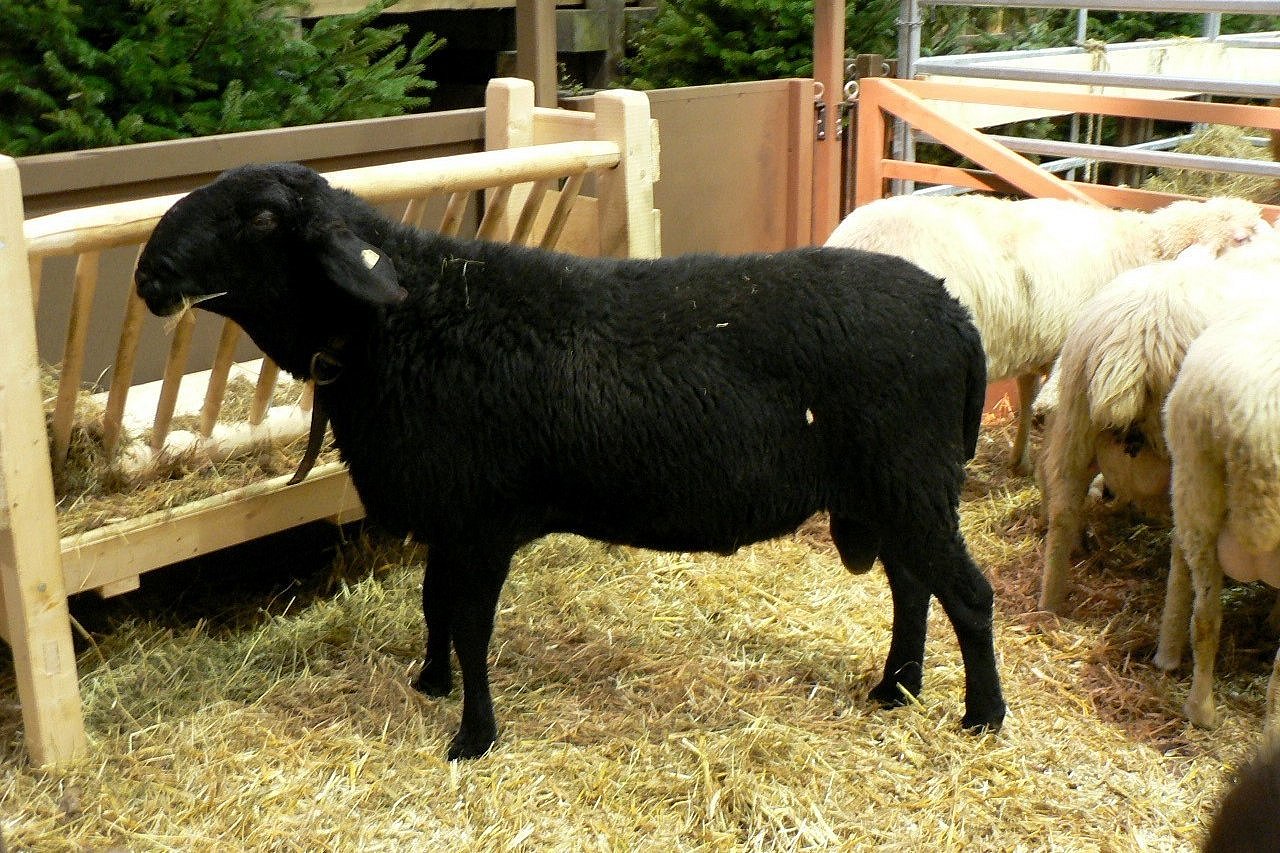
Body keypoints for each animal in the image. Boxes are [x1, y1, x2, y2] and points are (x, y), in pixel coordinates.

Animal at [135, 161, 1003, 758]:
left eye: (260, 218)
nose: (148, 273)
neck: (404, 323)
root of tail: (956, 316)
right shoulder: (451, 516)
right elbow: (434, 606)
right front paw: (430, 683)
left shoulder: (483, 520)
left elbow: (471, 623)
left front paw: (472, 736)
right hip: (890, 491)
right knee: (912, 586)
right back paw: (896, 688)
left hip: (911, 479)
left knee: (967, 593)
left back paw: (982, 714)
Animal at [1034, 227, 1280, 612]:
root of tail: (1135, 336)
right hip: (1183, 457)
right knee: (1185, 552)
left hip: (1076, 421)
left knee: (1063, 509)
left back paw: (1051, 603)